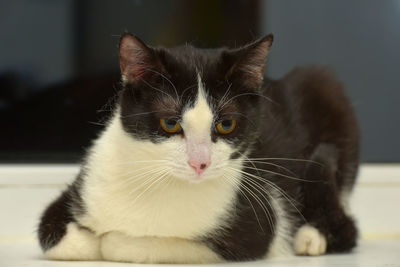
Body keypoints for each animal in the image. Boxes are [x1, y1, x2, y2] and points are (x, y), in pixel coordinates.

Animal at [37, 32, 360, 264]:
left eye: (226, 124)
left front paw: (111, 240)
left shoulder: (253, 225)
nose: (199, 163)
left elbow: (148, 244)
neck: (157, 182)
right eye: (170, 123)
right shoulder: (83, 187)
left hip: (324, 86)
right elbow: (52, 236)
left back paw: (311, 237)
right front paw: (88, 239)